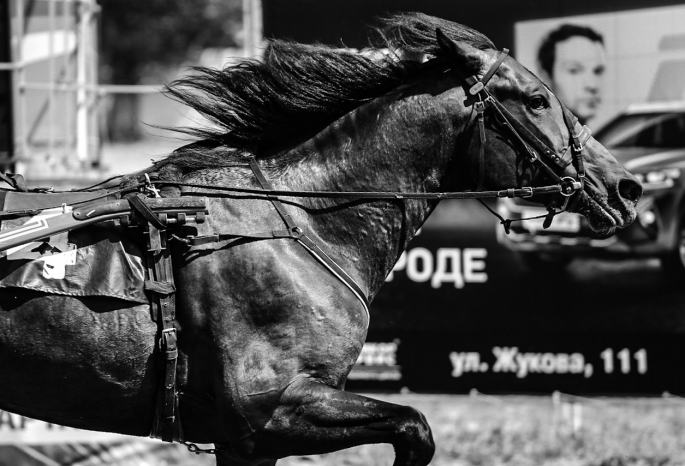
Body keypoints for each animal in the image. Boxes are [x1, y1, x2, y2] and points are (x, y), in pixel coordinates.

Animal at [1, 12, 640, 464]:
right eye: (536, 100)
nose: (625, 186)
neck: (302, 221)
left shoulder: (246, 443)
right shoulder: (269, 413)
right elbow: (415, 427)